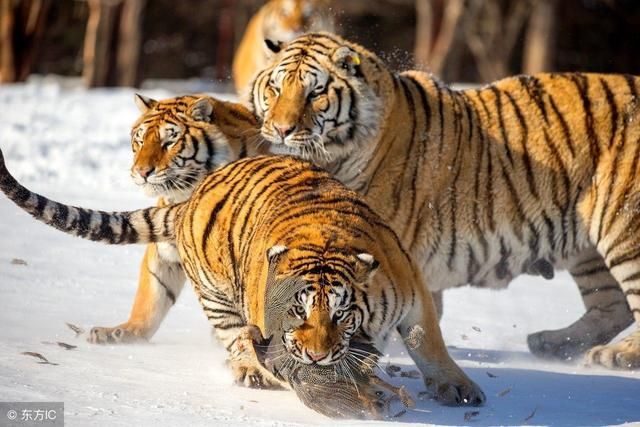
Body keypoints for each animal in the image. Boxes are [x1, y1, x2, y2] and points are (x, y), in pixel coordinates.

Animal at [0, 149, 482, 410]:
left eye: (341, 315)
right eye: (297, 314)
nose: (316, 354)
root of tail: (195, 192)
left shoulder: (414, 293)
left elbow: (429, 343)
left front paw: (458, 388)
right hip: (215, 294)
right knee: (233, 336)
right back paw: (249, 370)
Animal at [87, 93, 264, 344]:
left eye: (169, 142)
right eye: (140, 141)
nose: (141, 172)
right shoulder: (165, 249)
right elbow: (153, 293)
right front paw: (124, 332)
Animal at [248, 30, 640, 372]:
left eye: (315, 93)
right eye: (275, 87)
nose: (280, 129)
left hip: (623, 226)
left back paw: (615, 356)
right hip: (587, 251)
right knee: (612, 305)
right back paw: (551, 343)